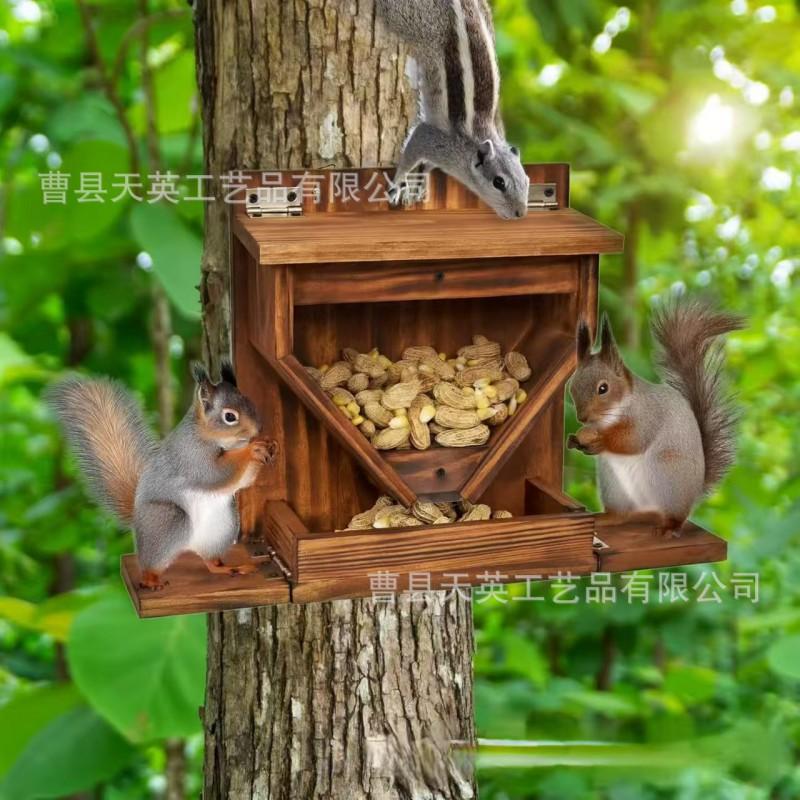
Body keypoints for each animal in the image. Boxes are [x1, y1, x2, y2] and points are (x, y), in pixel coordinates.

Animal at [47, 361, 276, 590]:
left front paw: (266, 445)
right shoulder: (191, 456)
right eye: (230, 417)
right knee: (151, 565)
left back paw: (229, 568)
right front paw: (252, 449)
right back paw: (151, 580)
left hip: (220, 529)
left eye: (249, 401)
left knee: (210, 562)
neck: (206, 435)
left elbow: (242, 481)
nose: (258, 429)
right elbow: (215, 473)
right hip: (168, 520)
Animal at [375, 0, 530, 220]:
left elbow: (427, 165)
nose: (521, 213)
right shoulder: (432, 140)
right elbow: (410, 154)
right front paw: (398, 182)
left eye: (526, 180)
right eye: (498, 182)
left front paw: (422, 182)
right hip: (407, 19)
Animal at [567, 299, 743, 536]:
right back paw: (608, 518)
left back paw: (670, 527)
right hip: (614, 486)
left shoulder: (648, 416)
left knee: (677, 515)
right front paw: (574, 440)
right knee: (622, 514)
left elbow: (633, 440)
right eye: (572, 386)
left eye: (603, 388)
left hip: (666, 474)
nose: (582, 418)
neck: (608, 419)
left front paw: (601, 441)